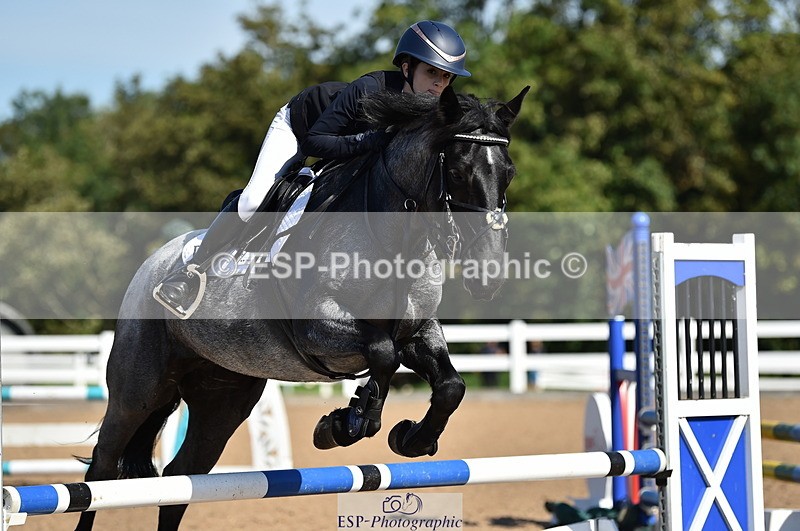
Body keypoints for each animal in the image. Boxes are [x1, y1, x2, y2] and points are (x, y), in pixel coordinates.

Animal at [76, 84, 529, 530]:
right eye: (458, 171)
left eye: (509, 173)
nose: (488, 275)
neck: (394, 239)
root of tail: (153, 263)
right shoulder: (318, 327)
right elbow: (382, 352)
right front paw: (348, 423)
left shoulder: (417, 332)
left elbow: (449, 384)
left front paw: (410, 437)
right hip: (138, 390)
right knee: (101, 471)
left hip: (222, 397)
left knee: (181, 477)